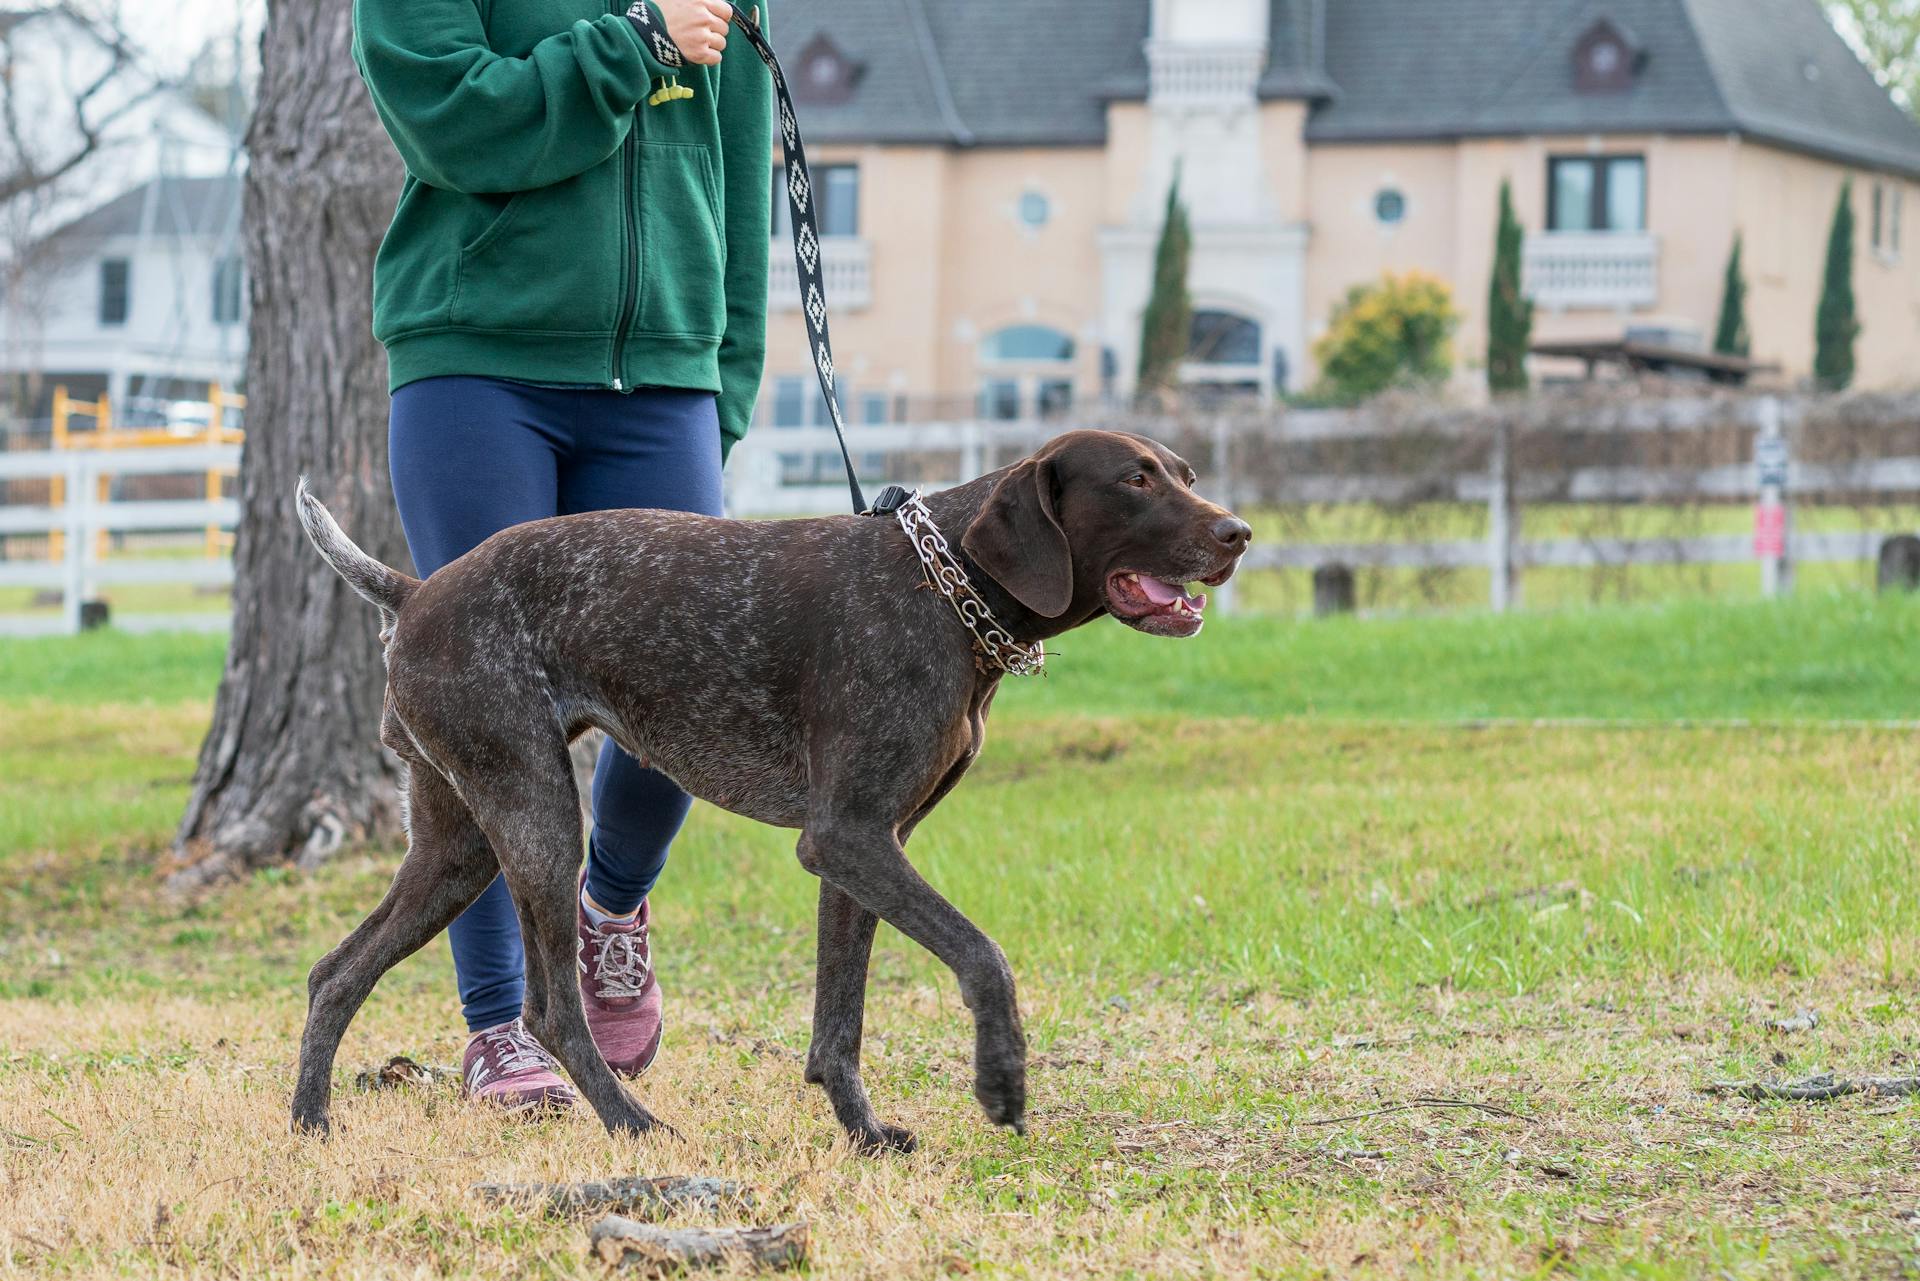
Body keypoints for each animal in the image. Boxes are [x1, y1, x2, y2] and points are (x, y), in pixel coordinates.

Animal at [284, 430, 1244, 1152]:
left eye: (1188, 477)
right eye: (1133, 480)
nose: (1236, 532)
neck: (945, 588)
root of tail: (414, 592)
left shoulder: (864, 851)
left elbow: (839, 1023)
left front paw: (864, 1134)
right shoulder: (849, 838)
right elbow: (984, 955)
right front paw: (1001, 1080)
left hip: (459, 844)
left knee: (335, 972)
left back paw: (310, 1123)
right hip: (536, 817)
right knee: (552, 1009)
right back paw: (634, 1124)